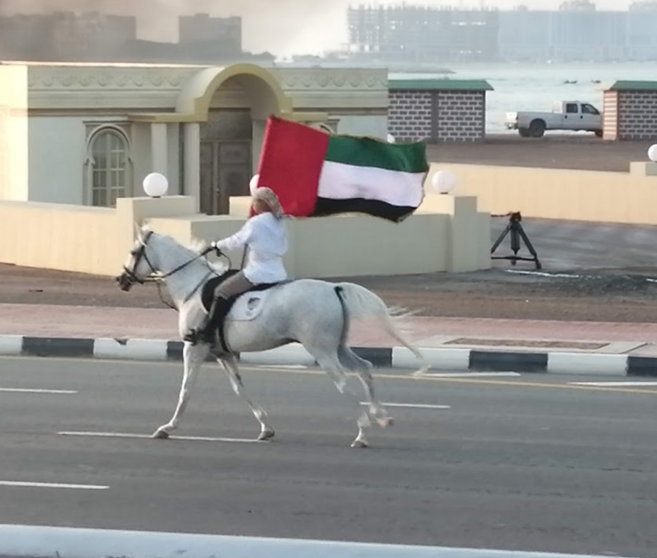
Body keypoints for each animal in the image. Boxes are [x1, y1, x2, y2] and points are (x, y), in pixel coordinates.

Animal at [115, 225, 428, 448]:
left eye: (133, 251)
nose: (121, 279)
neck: (194, 288)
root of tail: (333, 288)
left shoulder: (194, 348)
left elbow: (186, 389)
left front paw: (167, 427)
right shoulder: (223, 353)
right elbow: (239, 389)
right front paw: (266, 428)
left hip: (322, 351)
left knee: (343, 382)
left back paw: (363, 431)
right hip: (338, 347)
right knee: (364, 369)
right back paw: (381, 416)